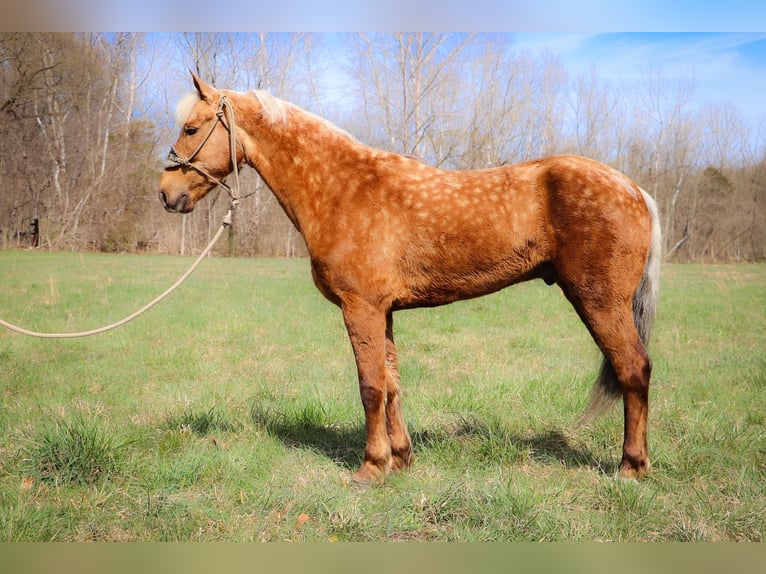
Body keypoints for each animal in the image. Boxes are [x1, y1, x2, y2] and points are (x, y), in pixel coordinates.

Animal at [159, 73, 664, 486]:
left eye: (191, 128)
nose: (166, 194)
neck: (341, 188)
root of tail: (634, 189)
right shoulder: (382, 312)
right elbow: (392, 385)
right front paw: (399, 459)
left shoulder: (360, 307)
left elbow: (370, 387)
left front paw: (370, 468)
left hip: (600, 302)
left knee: (634, 369)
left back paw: (631, 467)